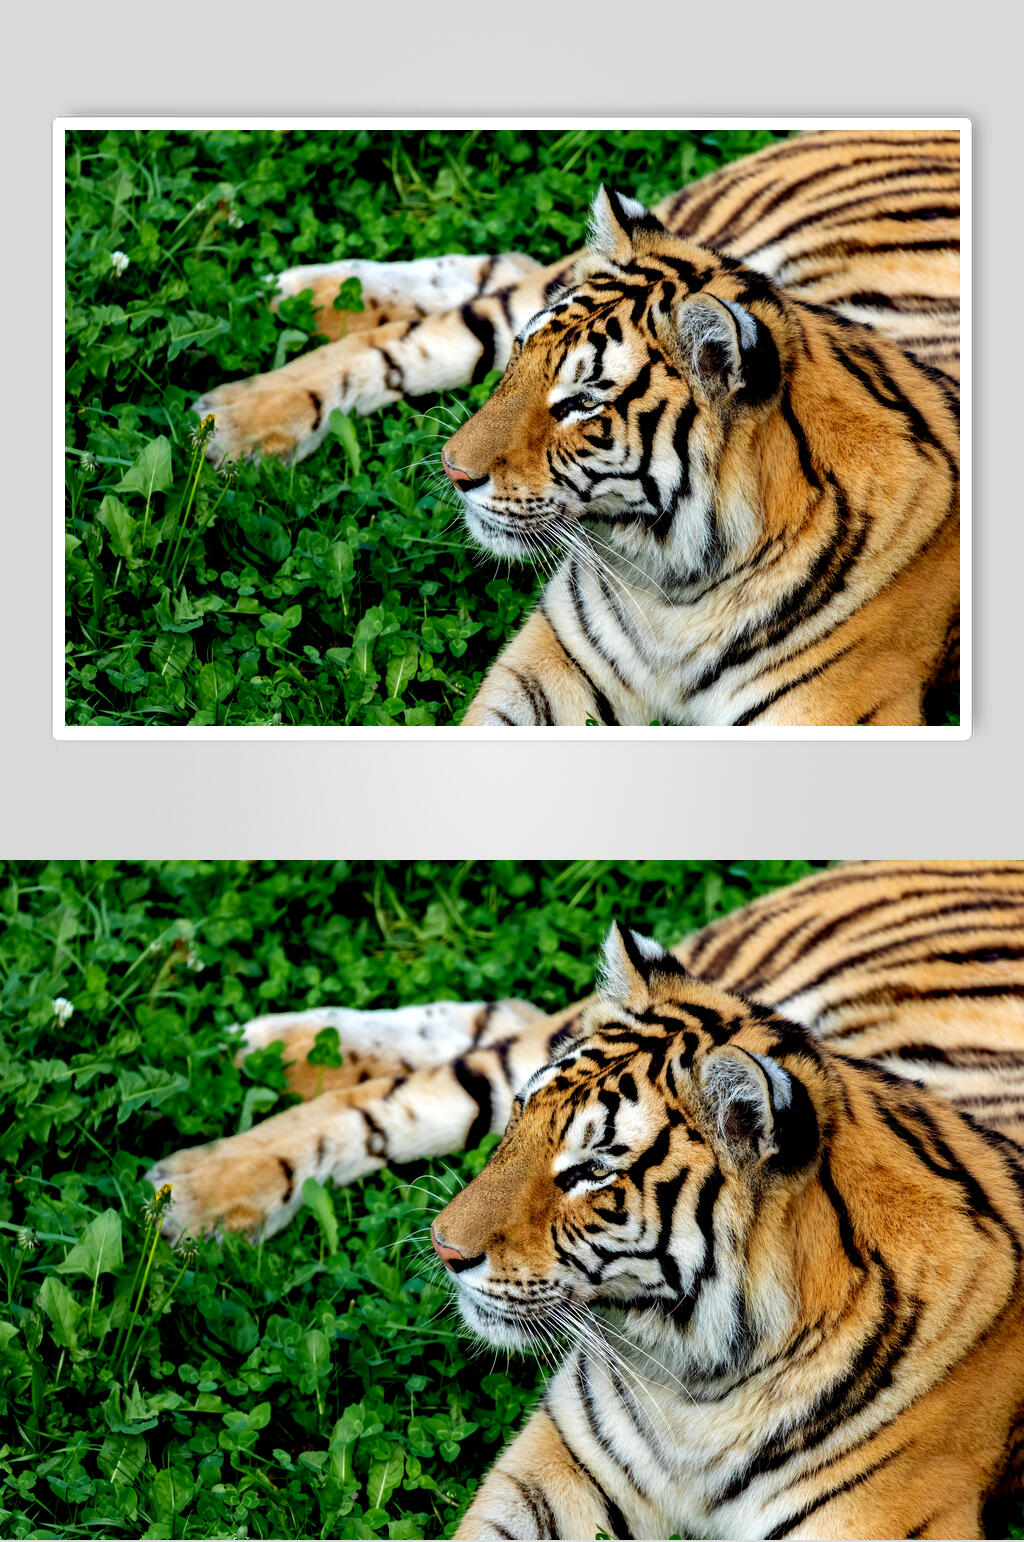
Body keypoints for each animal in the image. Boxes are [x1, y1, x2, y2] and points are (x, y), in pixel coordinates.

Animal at [146, 860, 1024, 1540]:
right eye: (526, 1123)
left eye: (592, 1171)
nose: (444, 1249)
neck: (701, 1385)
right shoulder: (560, 1467)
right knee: (424, 1086)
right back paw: (202, 1166)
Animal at [191, 129, 962, 727]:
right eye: (524, 360)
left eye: (582, 403)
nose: (453, 471)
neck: (678, 590)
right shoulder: (552, 664)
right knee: (435, 329)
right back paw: (243, 397)